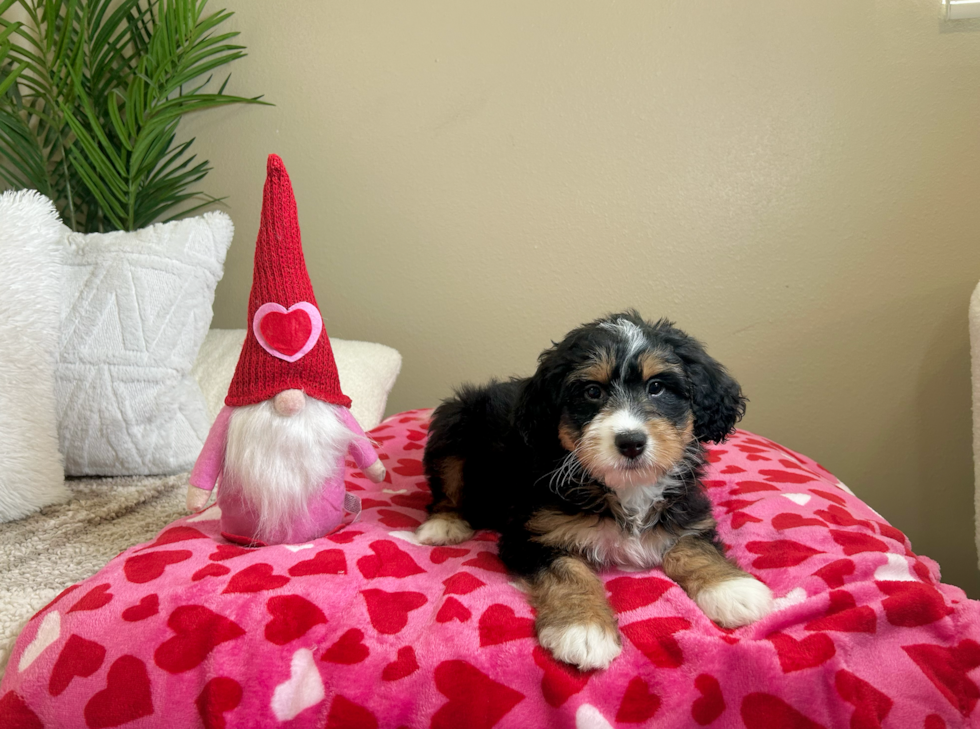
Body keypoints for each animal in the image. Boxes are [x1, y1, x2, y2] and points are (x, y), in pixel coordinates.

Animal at [414, 310, 772, 668]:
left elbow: (694, 547)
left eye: (657, 387)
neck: (625, 489)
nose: (631, 442)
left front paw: (732, 589)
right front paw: (582, 628)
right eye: (592, 392)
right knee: (446, 490)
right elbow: (568, 572)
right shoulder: (532, 533)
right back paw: (444, 525)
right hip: (453, 429)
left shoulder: (688, 509)